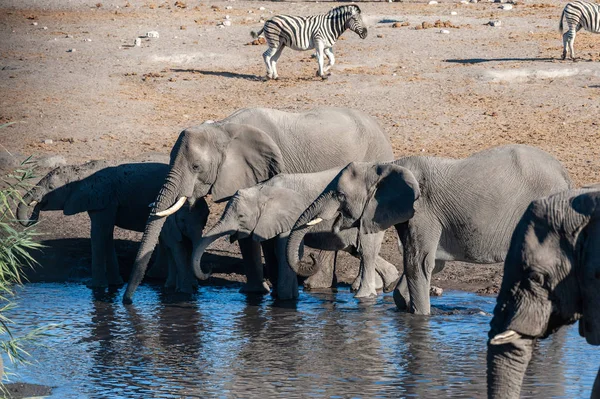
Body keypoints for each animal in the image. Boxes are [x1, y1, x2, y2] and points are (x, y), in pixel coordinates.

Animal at [290, 145, 572, 316]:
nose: (309, 256)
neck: (387, 166)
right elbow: (426, 262)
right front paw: (408, 305)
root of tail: (564, 173)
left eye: (340, 194)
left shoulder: (424, 210)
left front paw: (422, 316)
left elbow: (418, 263)